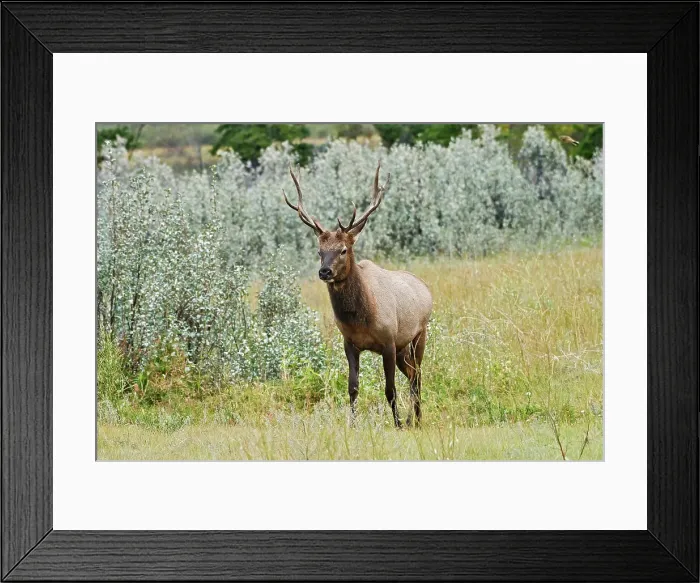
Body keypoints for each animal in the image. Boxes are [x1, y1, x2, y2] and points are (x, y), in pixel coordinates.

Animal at [283, 162, 433, 427]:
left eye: (343, 250)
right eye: (319, 251)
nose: (324, 271)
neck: (362, 318)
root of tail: (425, 288)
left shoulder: (388, 341)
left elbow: (390, 389)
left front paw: (396, 424)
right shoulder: (350, 343)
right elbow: (352, 387)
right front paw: (351, 424)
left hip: (419, 335)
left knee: (417, 376)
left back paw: (414, 419)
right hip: (404, 347)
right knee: (413, 374)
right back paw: (412, 418)